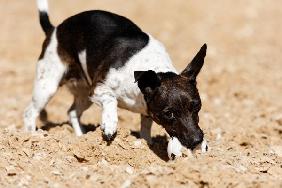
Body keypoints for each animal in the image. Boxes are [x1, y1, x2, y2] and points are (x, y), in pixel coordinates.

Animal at [24, 0, 208, 153]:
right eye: (169, 113)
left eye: (197, 106)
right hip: (47, 86)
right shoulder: (98, 89)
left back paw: (81, 138)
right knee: (30, 113)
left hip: (83, 94)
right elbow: (111, 99)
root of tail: (54, 29)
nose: (196, 141)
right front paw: (110, 124)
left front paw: (145, 145)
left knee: (72, 112)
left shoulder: (146, 110)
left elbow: (145, 128)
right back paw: (30, 137)